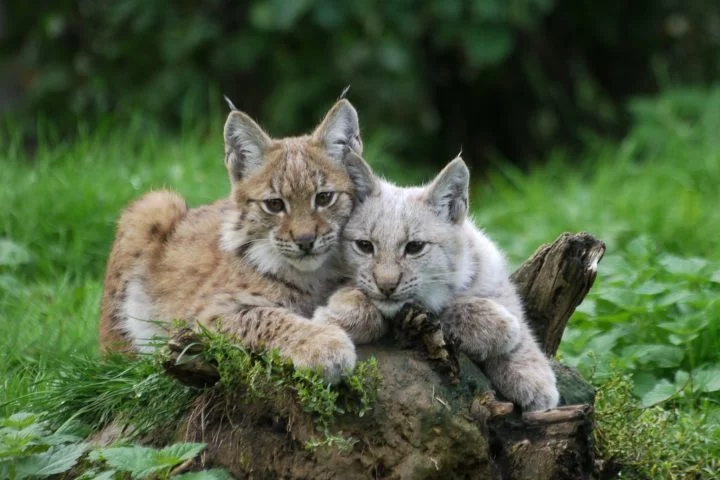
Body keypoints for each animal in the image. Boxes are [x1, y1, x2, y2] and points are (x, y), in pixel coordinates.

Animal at [101, 98, 376, 382]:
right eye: (274, 205)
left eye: (324, 198)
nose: (305, 240)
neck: (313, 275)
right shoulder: (207, 315)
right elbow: (266, 316)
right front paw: (323, 344)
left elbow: (369, 296)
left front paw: (340, 313)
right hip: (154, 203)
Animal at [312, 157, 560, 408]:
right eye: (364, 246)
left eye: (415, 247)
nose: (386, 286)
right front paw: (334, 318)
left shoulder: (491, 266)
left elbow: (514, 313)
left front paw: (532, 375)